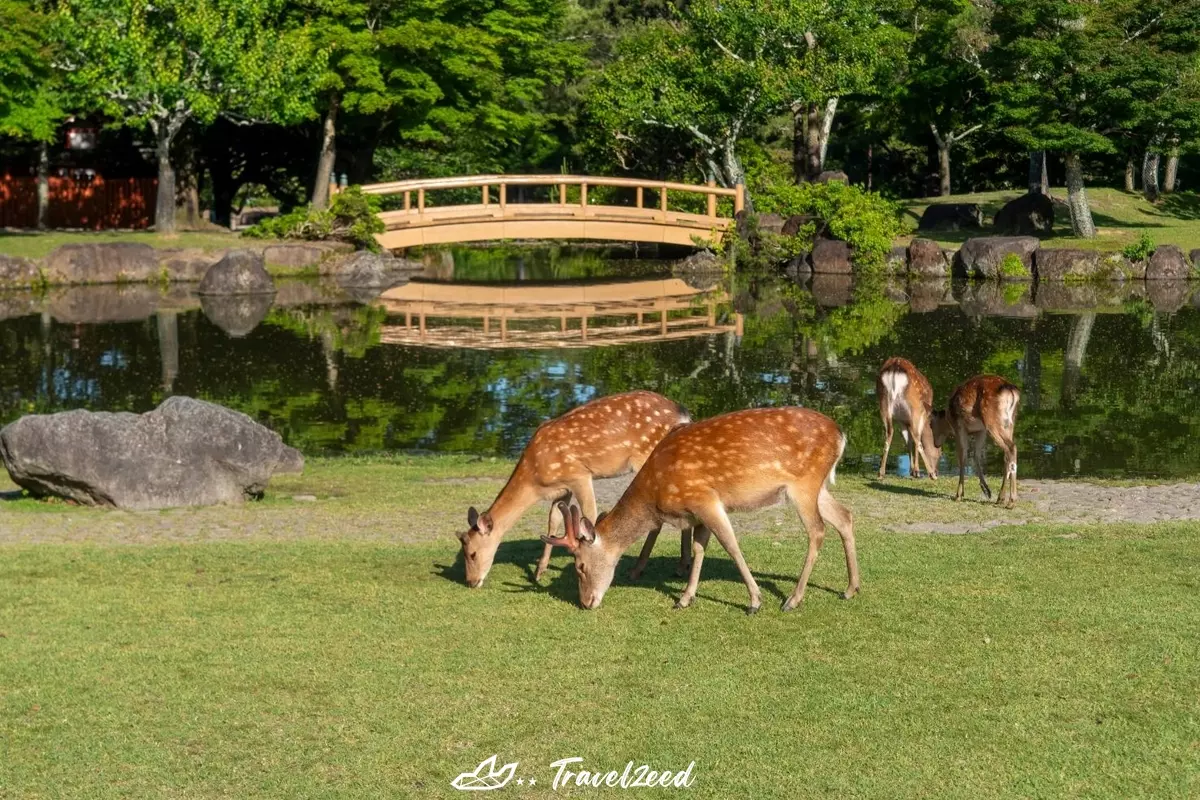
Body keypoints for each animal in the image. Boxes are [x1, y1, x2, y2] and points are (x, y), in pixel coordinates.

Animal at [453, 393, 691, 587]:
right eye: (463, 553)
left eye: (472, 553)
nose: (471, 582)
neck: (535, 478)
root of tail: (683, 413)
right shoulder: (562, 489)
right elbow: (554, 520)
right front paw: (539, 572)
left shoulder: (579, 475)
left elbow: (589, 515)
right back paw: (681, 566)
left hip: (647, 456)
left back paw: (639, 569)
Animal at [540, 410, 859, 618]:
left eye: (580, 566)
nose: (585, 603)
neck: (656, 494)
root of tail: (842, 435)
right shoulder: (697, 512)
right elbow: (699, 548)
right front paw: (685, 598)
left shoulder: (705, 499)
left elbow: (731, 546)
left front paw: (755, 601)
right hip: (818, 487)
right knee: (845, 516)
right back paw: (850, 588)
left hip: (803, 484)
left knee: (818, 530)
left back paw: (793, 600)